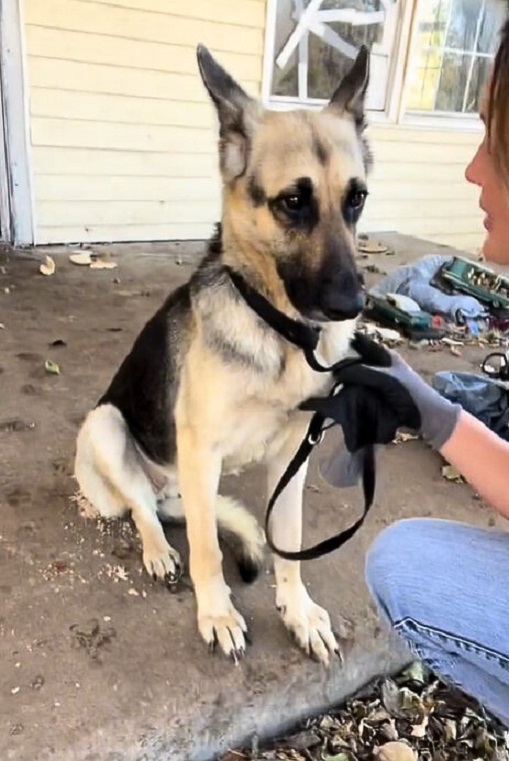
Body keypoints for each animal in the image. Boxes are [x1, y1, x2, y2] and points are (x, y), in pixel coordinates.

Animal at [74, 46, 370, 664]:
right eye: (293, 202)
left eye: (356, 198)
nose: (352, 305)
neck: (281, 333)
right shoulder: (201, 448)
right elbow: (208, 548)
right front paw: (217, 614)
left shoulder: (294, 456)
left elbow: (288, 538)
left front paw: (297, 610)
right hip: (107, 426)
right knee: (142, 509)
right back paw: (158, 549)